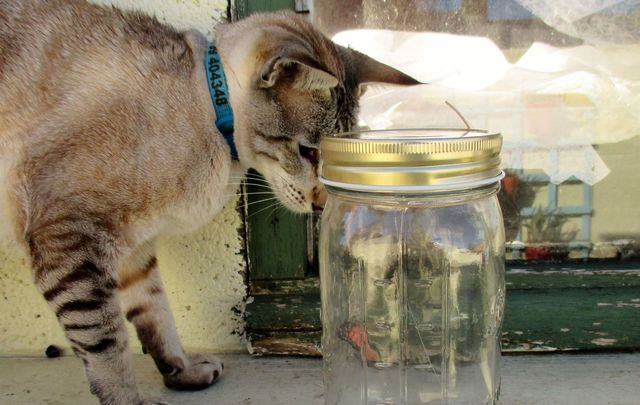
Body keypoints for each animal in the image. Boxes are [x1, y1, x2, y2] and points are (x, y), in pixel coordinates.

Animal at [0, 1, 418, 402]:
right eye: (307, 151)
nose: (320, 203)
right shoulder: (73, 236)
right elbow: (106, 343)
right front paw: (128, 400)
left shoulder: (134, 249)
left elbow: (155, 312)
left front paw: (180, 369)